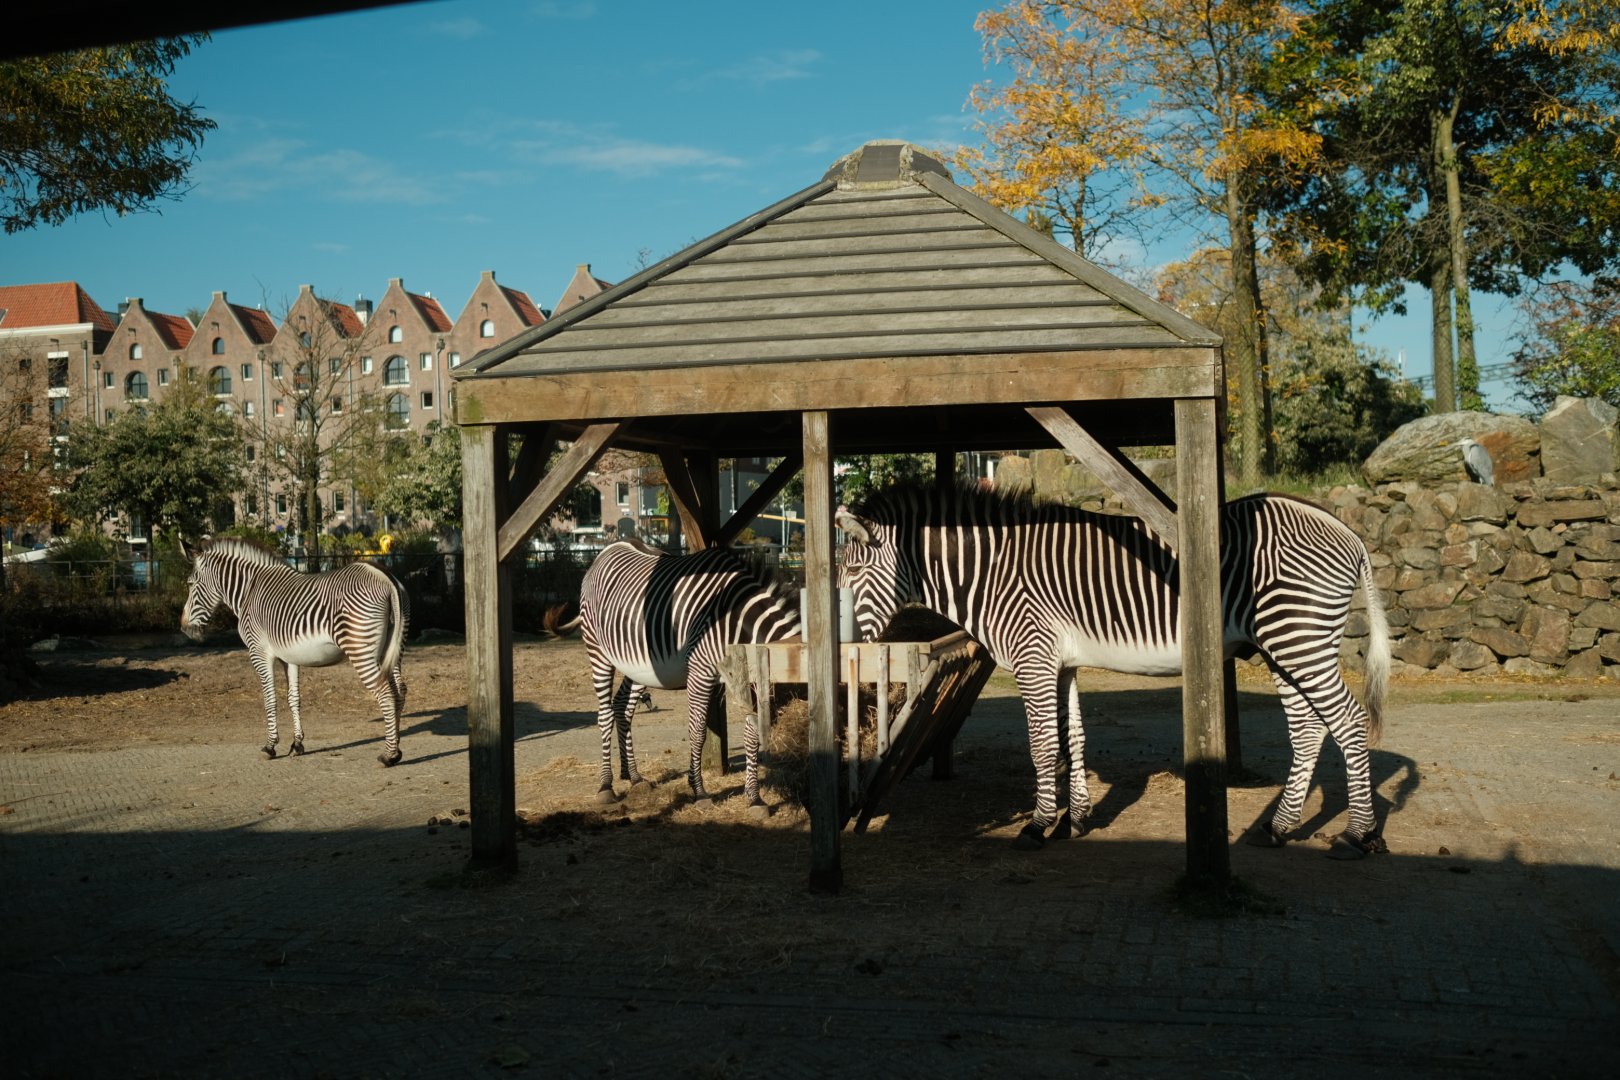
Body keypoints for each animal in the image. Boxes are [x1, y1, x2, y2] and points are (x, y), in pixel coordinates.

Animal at [179, 538, 410, 765]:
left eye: (190, 584)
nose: (183, 628)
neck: (248, 591)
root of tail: (384, 576)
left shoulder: (259, 652)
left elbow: (270, 699)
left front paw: (270, 746)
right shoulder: (289, 657)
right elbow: (293, 698)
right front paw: (297, 744)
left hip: (360, 648)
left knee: (385, 693)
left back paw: (388, 755)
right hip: (394, 648)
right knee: (399, 691)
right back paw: (397, 748)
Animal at [556, 539, 801, 810]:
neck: (736, 621)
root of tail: (611, 548)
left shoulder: (749, 678)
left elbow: (751, 734)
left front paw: (754, 797)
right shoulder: (700, 673)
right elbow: (698, 732)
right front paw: (700, 792)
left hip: (640, 666)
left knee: (622, 707)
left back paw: (634, 777)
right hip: (597, 650)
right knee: (605, 714)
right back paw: (606, 785)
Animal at [835, 484, 1392, 859]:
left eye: (854, 573)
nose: (841, 648)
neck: (994, 576)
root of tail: (1346, 530)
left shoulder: (1032, 657)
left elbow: (1044, 746)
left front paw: (1037, 826)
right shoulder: (1060, 663)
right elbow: (1073, 738)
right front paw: (1075, 819)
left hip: (1298, 638)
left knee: (1348, 722)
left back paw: (1358, 834)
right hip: (1282, 646)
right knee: (1308, 730)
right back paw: (1277, 828)